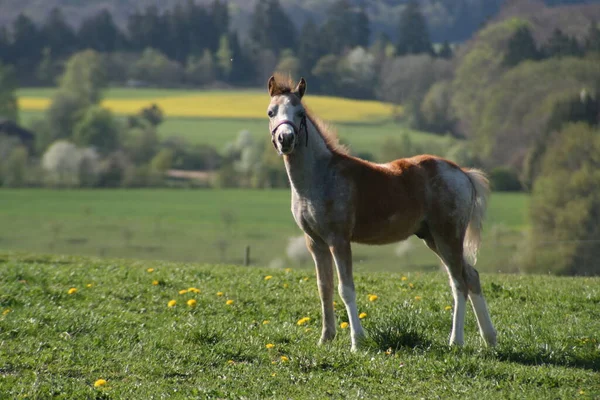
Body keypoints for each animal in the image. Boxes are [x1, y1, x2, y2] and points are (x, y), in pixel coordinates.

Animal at [268, 75, 496, 350]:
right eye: (271, 112)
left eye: (300, 113)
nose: (286, 139)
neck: (319, 177)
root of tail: (463, 173)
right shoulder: (315, 242)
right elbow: (325, 288)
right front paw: (325, 338)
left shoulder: (338, 240)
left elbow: (346, 289)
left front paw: (356, 342)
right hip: (432, 238)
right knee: (471, 275)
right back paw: (489, 338)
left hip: (448, 236)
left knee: (458, 282)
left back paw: (456, 341)